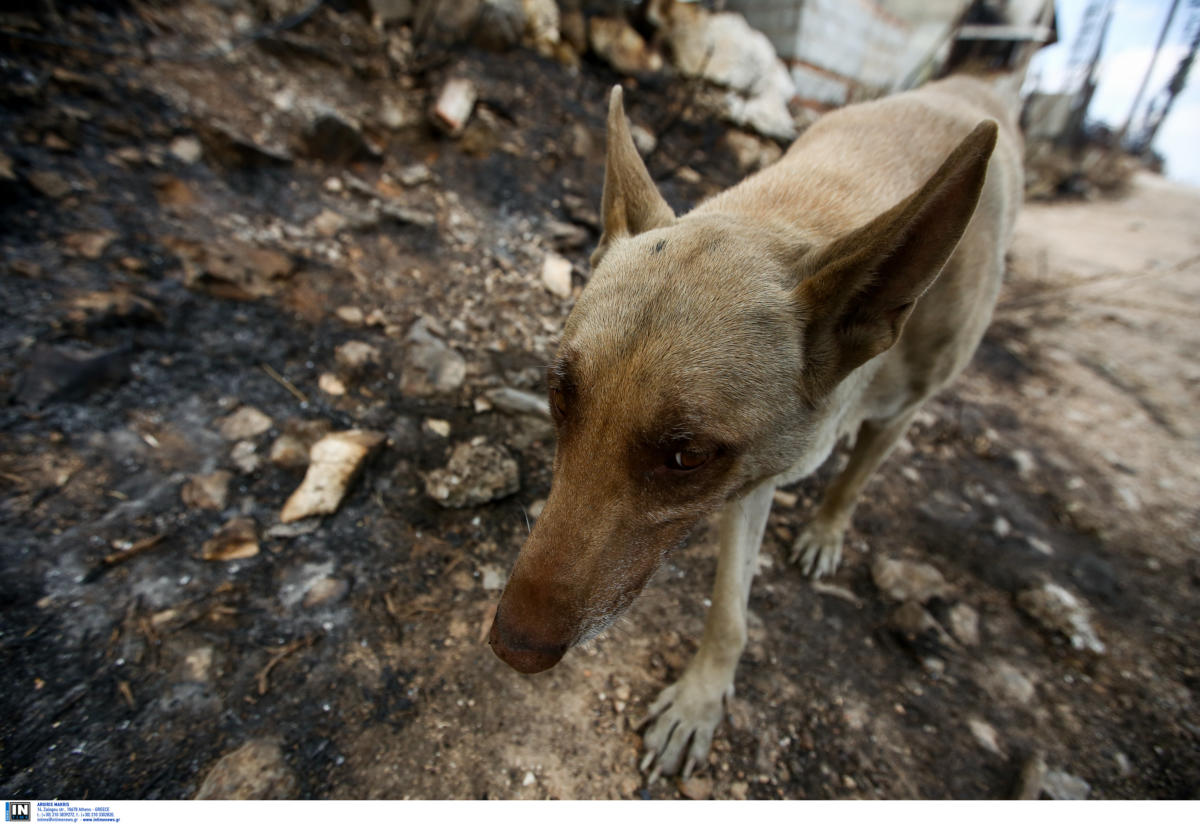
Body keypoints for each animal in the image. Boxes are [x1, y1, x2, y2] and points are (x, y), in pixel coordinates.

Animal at [487, 77, 1022, 782]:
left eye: (687, 456)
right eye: (560, 396)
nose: (510, 648)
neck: (801, 209)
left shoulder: (879, 421)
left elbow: (852, 481)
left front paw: (826, 528)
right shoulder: (755, 479)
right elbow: (729, 611)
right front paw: (701, 698)